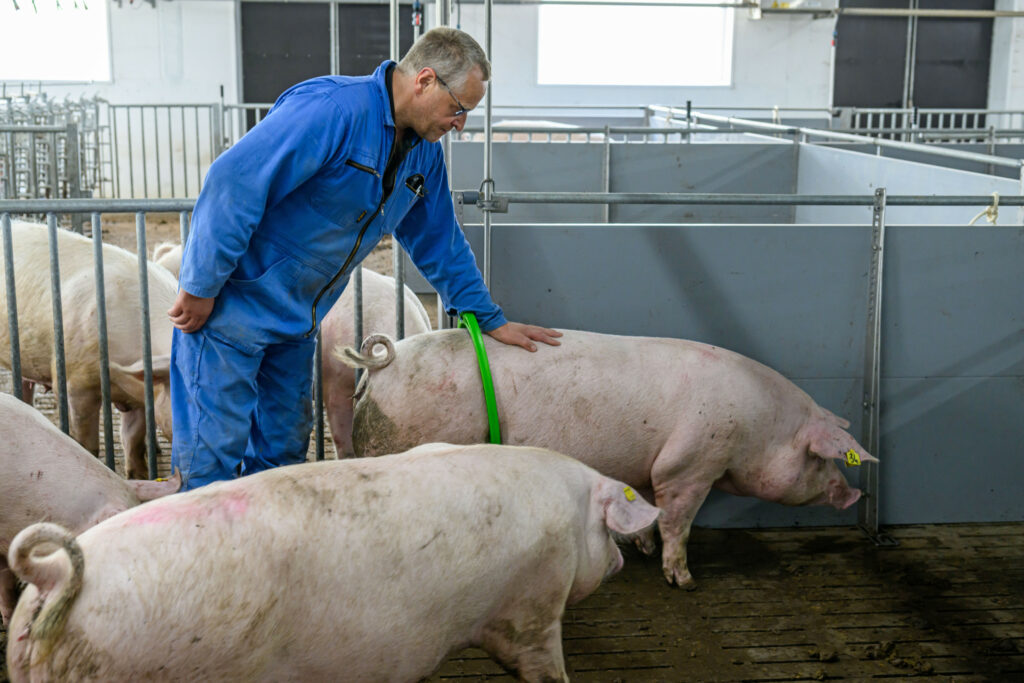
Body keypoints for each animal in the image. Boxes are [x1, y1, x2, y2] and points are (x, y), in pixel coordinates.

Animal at [339, 327, 876, 589]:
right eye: (820, 459)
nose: (855, 495)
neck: (757, 427)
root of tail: (383, 365)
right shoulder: (692, 462)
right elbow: (678, 521)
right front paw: (684, 581)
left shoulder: (651, 466)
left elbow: (646, 506)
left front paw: (643, 549)